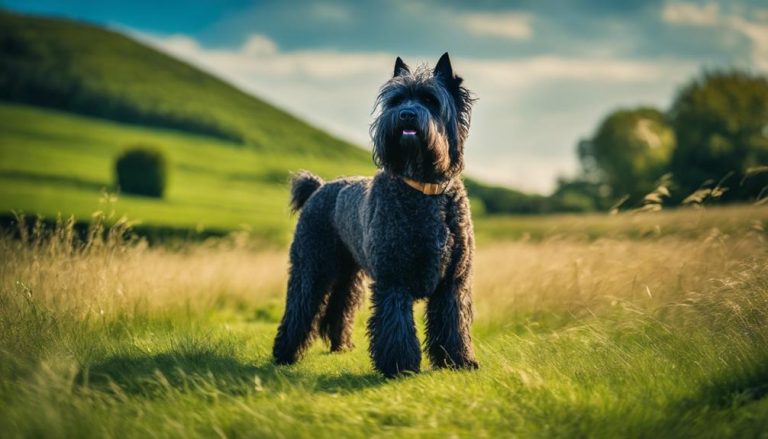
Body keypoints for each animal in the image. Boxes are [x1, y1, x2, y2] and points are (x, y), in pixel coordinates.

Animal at [272, 54, 476, 378]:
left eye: (430, 100)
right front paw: (400, 367)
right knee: (300, 309)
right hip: (311, 269)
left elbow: (453, 324)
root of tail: (319, 188)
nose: (405, 115)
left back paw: (340, 345)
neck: (423, 190)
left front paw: (458, 361)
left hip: (347, 275)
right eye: (396, 100)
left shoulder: (451, 283)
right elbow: (397, 324)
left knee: (339, 308)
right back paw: (285, 353)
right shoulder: (394, 280)